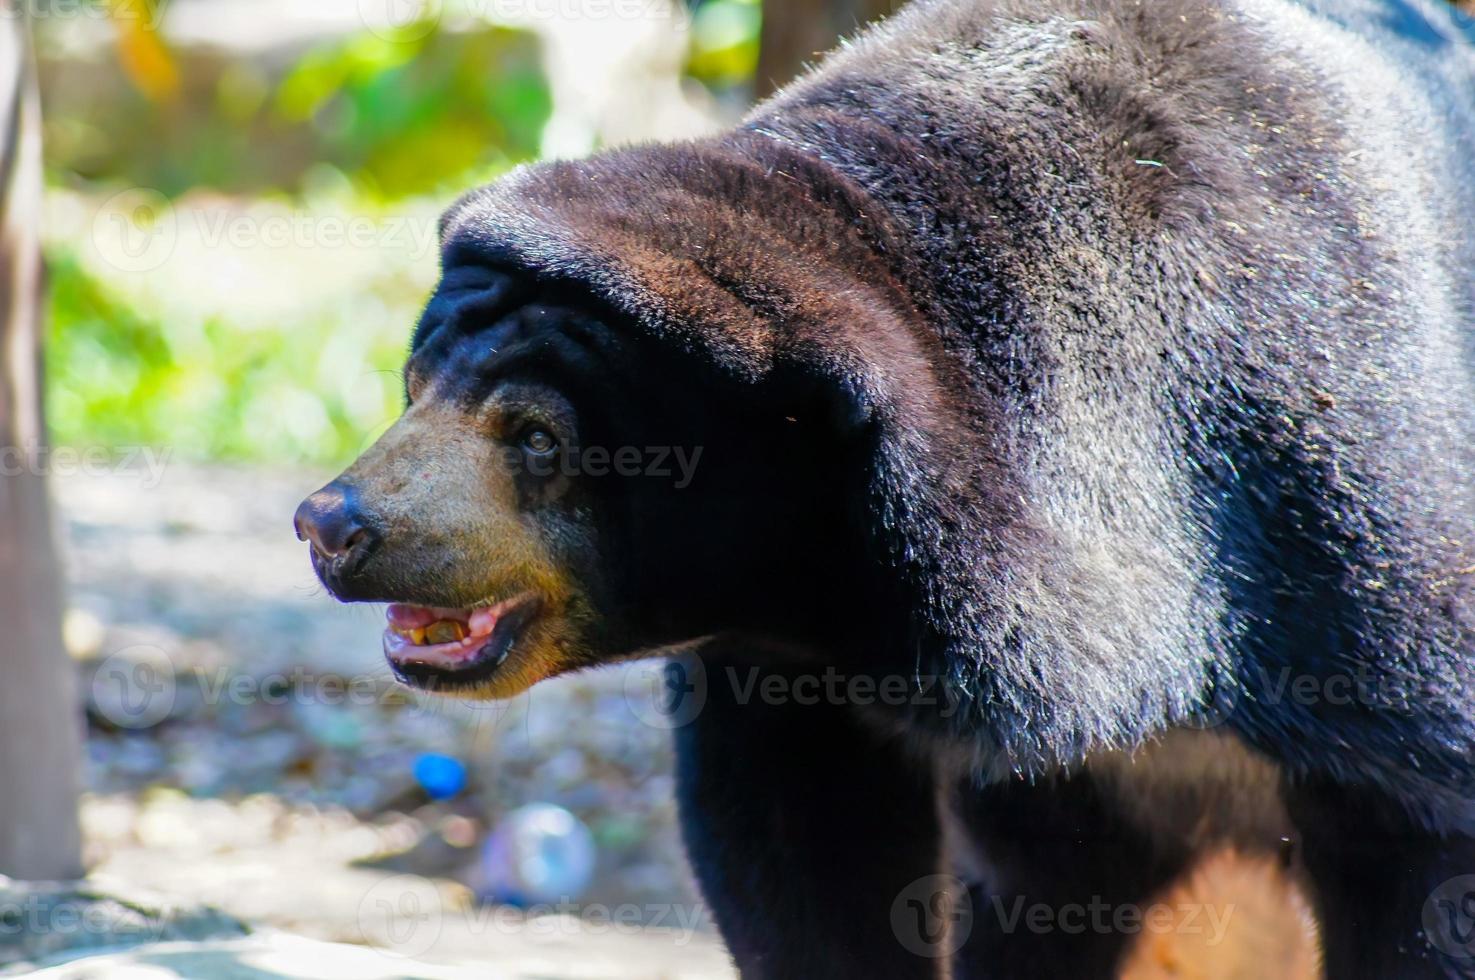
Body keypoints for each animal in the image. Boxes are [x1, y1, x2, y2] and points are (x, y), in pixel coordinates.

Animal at [293, 0, 1475, 974]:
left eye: (537, 437)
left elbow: (1425, 846)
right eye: (412, 386)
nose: (331, 523)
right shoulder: (794, 669)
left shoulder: (1337, 531)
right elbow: (798, 849)